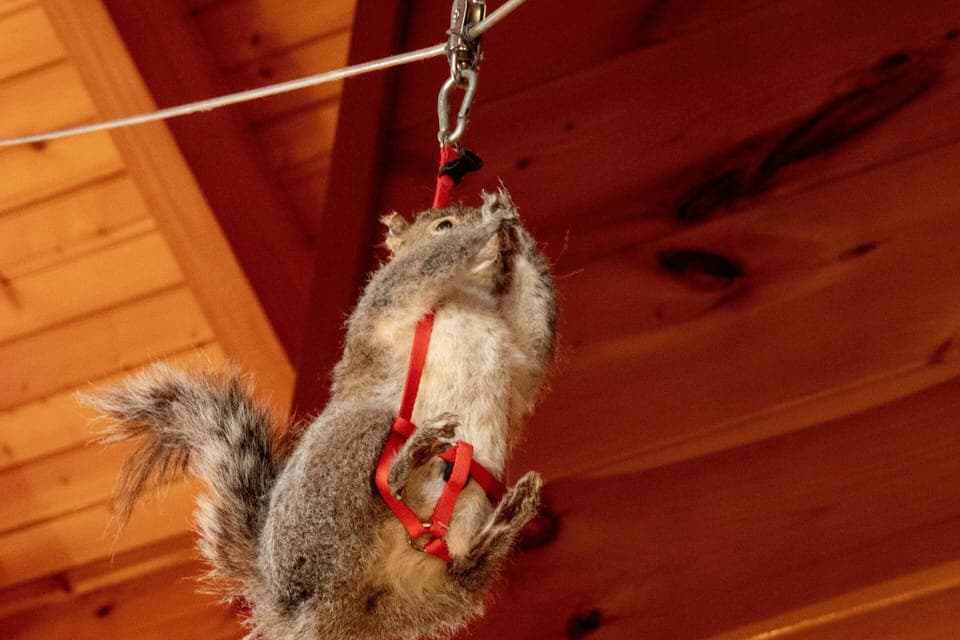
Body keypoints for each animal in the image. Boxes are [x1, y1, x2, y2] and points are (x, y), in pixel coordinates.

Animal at [84, 189, 558, 640]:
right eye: (442, 224)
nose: (502, 244)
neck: (466, 294)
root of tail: (317, 606)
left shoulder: (520, 353)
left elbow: (535, 331)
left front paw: (515, 232)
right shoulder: (389, 293)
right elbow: (423, 265)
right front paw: (495, 220)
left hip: (434, 576)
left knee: (462, 569)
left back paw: (505, 520)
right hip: (353, 444)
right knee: (383, 478)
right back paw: (412, 457)